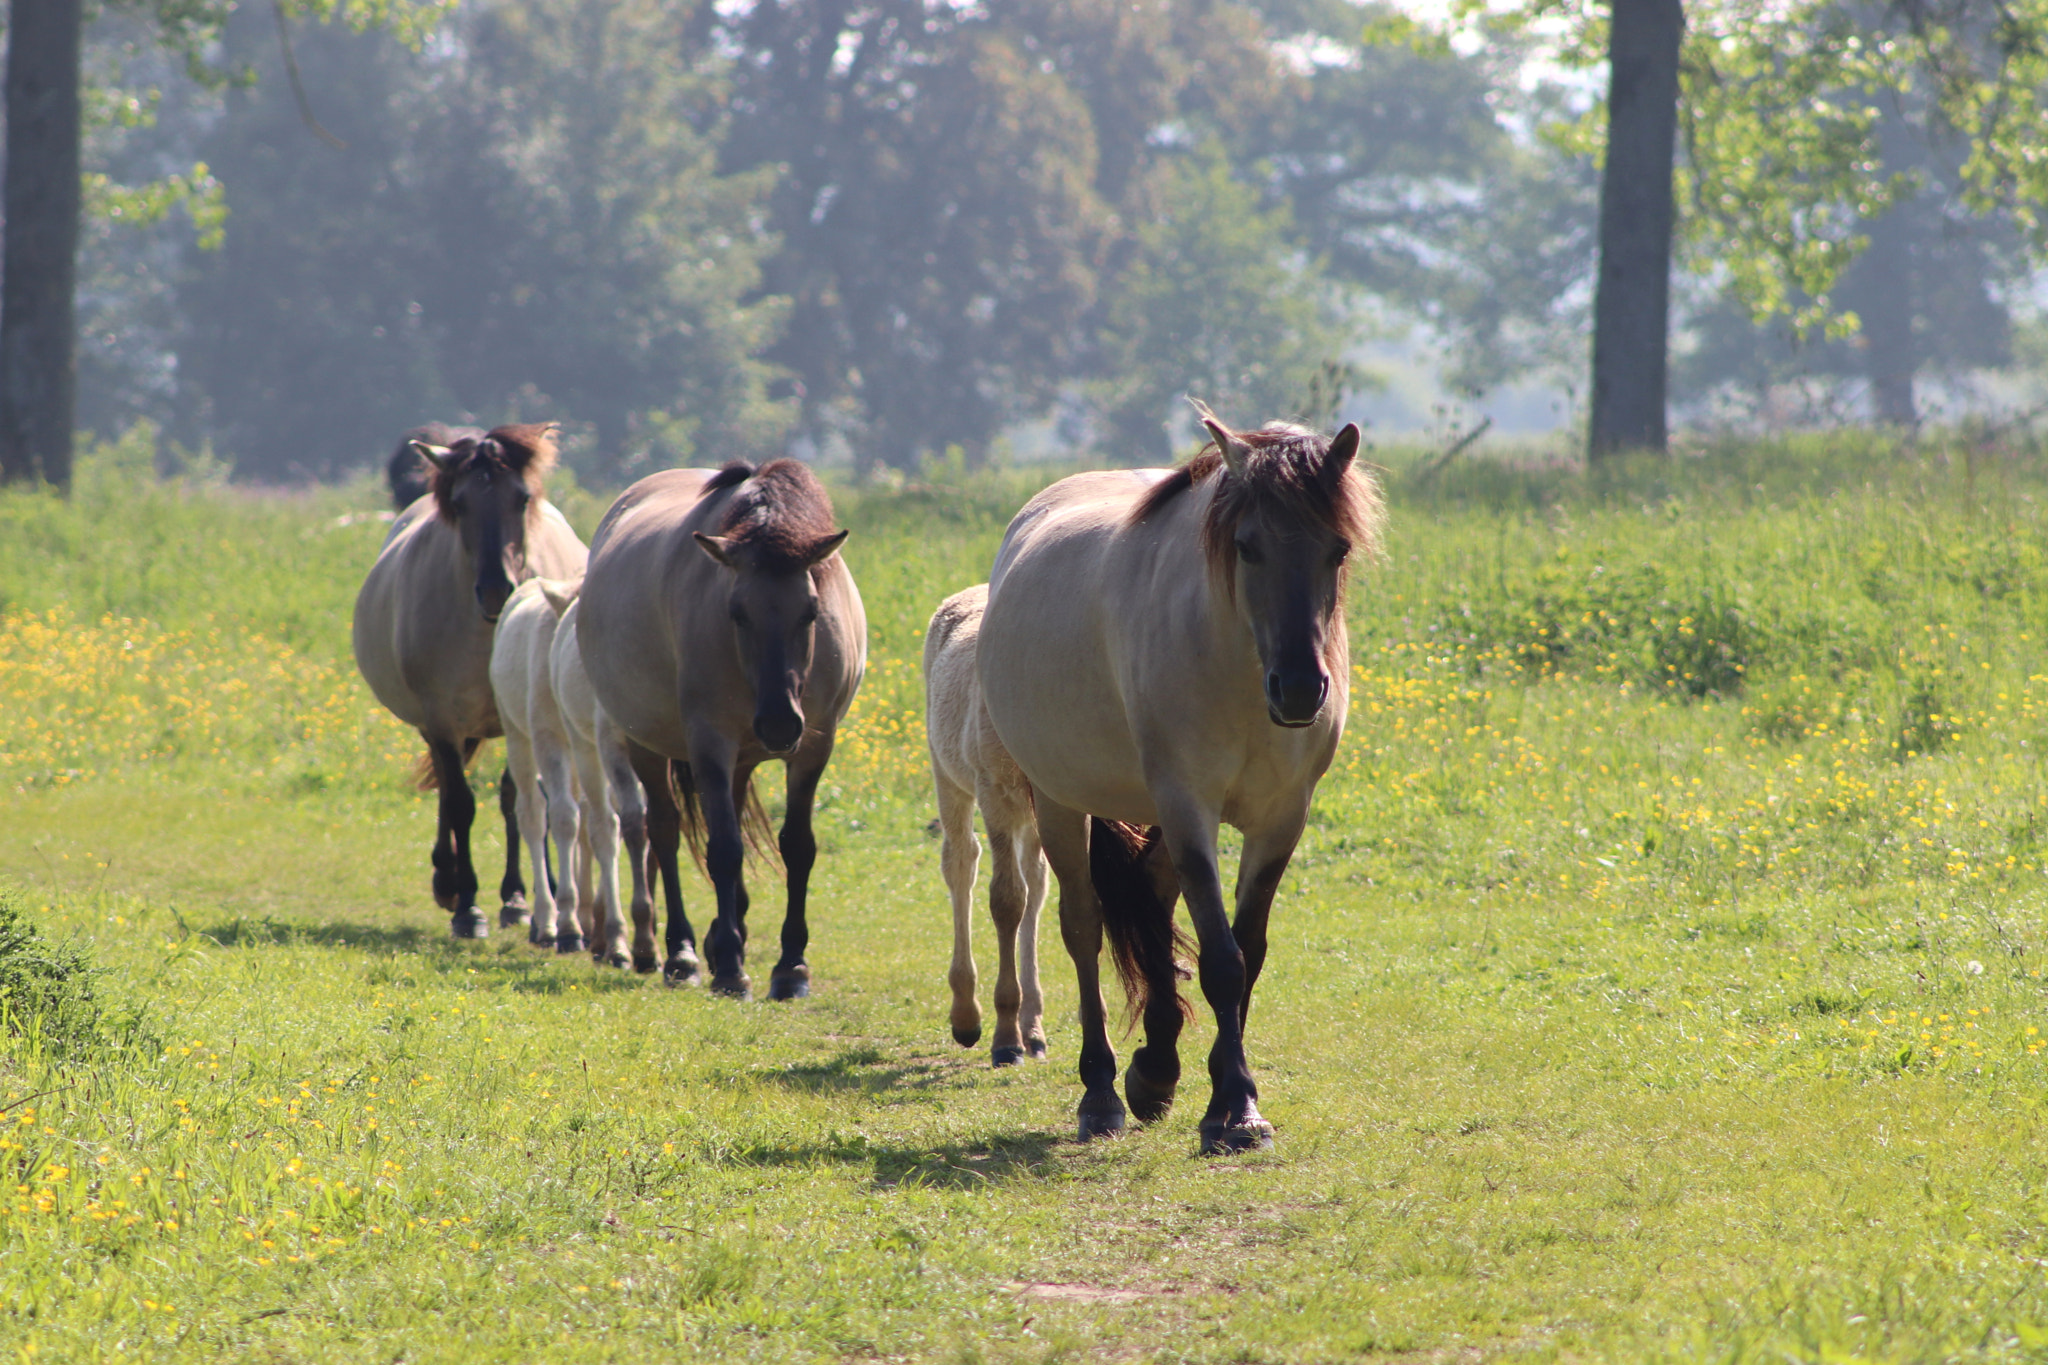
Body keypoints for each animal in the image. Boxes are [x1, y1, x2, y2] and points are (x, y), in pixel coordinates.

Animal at [352, 427, 589, 941]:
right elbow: (460, 802)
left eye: (522, 498)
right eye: (459, 504)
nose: (497, 589)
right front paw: (467, 905)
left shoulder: (518, 717)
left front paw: (517, 900)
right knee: (448, 785)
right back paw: (447, 879)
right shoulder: (441, 719)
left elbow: (517, 799)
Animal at [577, 458, 864, 994]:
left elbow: (797, 847)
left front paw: (791, 966)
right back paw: (683, 953)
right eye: (737, 612)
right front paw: (730, 964)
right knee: (663, 832)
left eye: (811, 612)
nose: (779, 723)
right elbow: (724, 849)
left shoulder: (814, 746)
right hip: (647, 744)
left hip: (743, 758)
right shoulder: (710, 742)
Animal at [933, 585, 1056, 1064]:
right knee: (961, 864)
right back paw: (966, 1015)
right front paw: (1005, 1037)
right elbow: (1005, 900)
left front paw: (1025, 1028)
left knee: (1036, 883)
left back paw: (1033, 1025)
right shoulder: (995, 795)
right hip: (949, 777)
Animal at [970, 405, 1376, 1154]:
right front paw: (1236, 1110)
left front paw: (1221, 1094)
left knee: (1153, 903)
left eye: (1336, 549)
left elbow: (1247, 951)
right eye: (1247, 547)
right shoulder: (1189, 807)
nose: (1300, 689)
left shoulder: (1282, 818)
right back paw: (1101, 1092)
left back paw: (1154, 1069)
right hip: (1062, 803)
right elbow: (1220, 958)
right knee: (1082, 926)